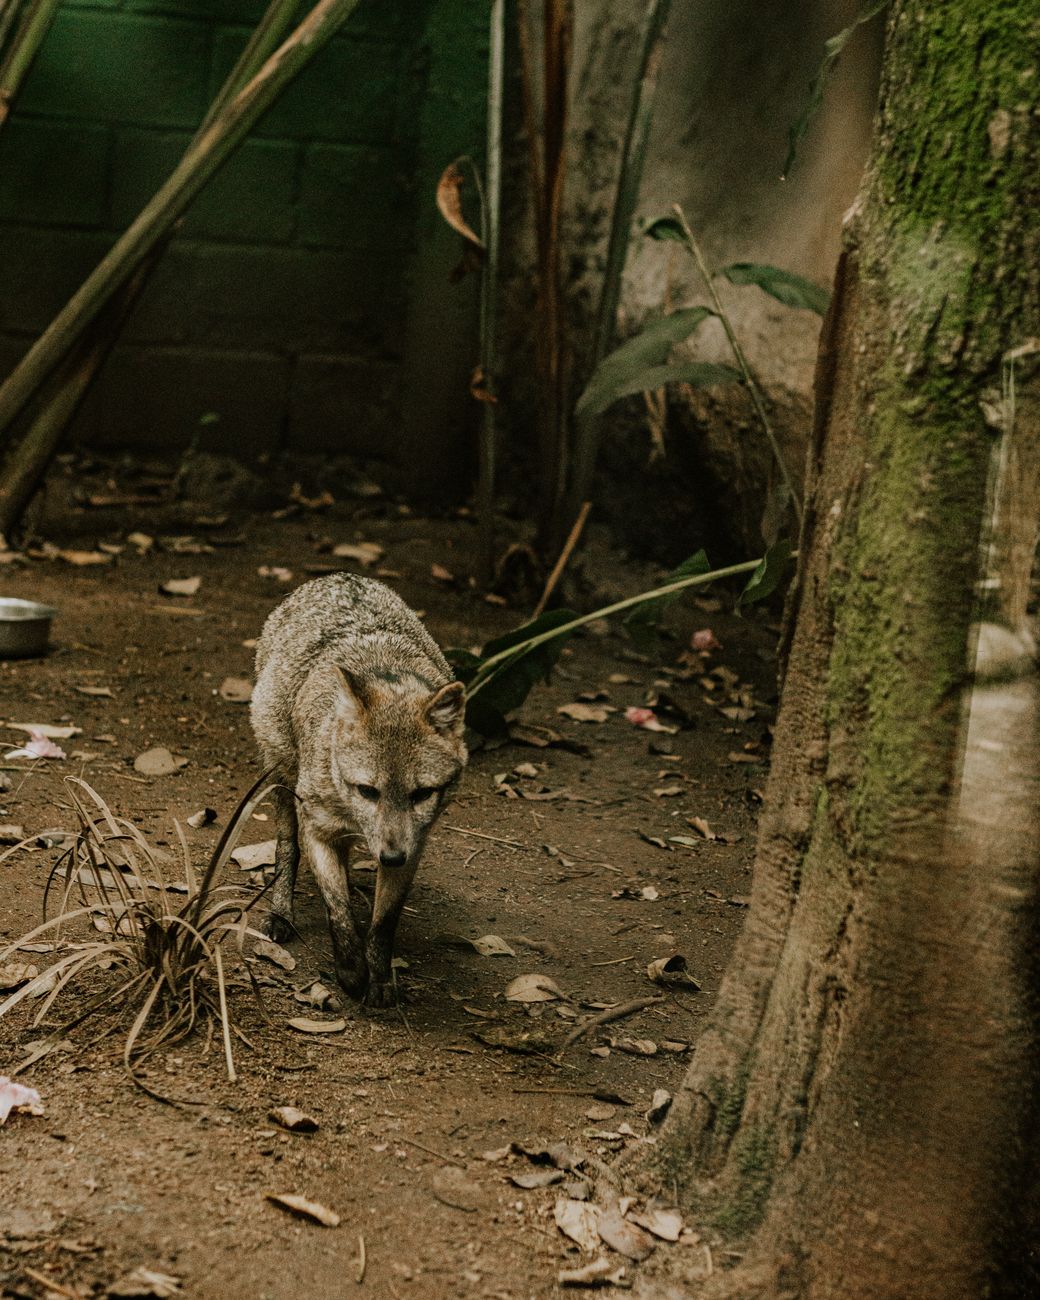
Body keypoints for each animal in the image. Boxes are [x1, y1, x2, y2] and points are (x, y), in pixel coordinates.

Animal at [250, 573, 467, 1007]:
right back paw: (281, 914)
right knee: (286, 849)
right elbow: (338, 911)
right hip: (281, 777)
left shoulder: (414, 844)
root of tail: (341, 576)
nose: (391, 856)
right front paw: (351, 973)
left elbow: (383, 923)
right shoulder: (317, 828)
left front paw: (380, 978)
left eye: (421, 794)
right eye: (368, 791)